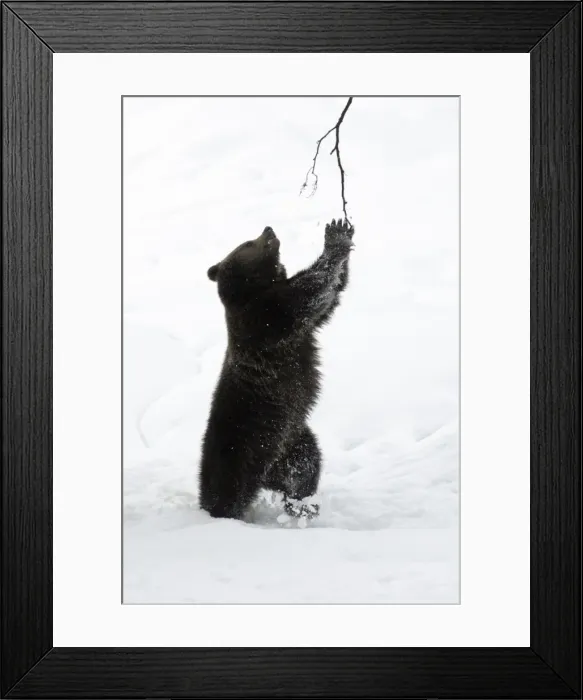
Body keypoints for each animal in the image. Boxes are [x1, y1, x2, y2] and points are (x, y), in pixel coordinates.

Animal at [199, 218, 354, 521]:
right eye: (248, 242)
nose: (268, 229)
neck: (253, 291)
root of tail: (264, 476)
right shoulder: (269, 318)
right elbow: (311, 290)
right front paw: (335, 237)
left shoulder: (301, 327)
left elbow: (329, 299)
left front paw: (342, 229)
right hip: (236, 449)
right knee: (224, 494)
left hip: (290, 442)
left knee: (304, 468)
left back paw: (304, 506)